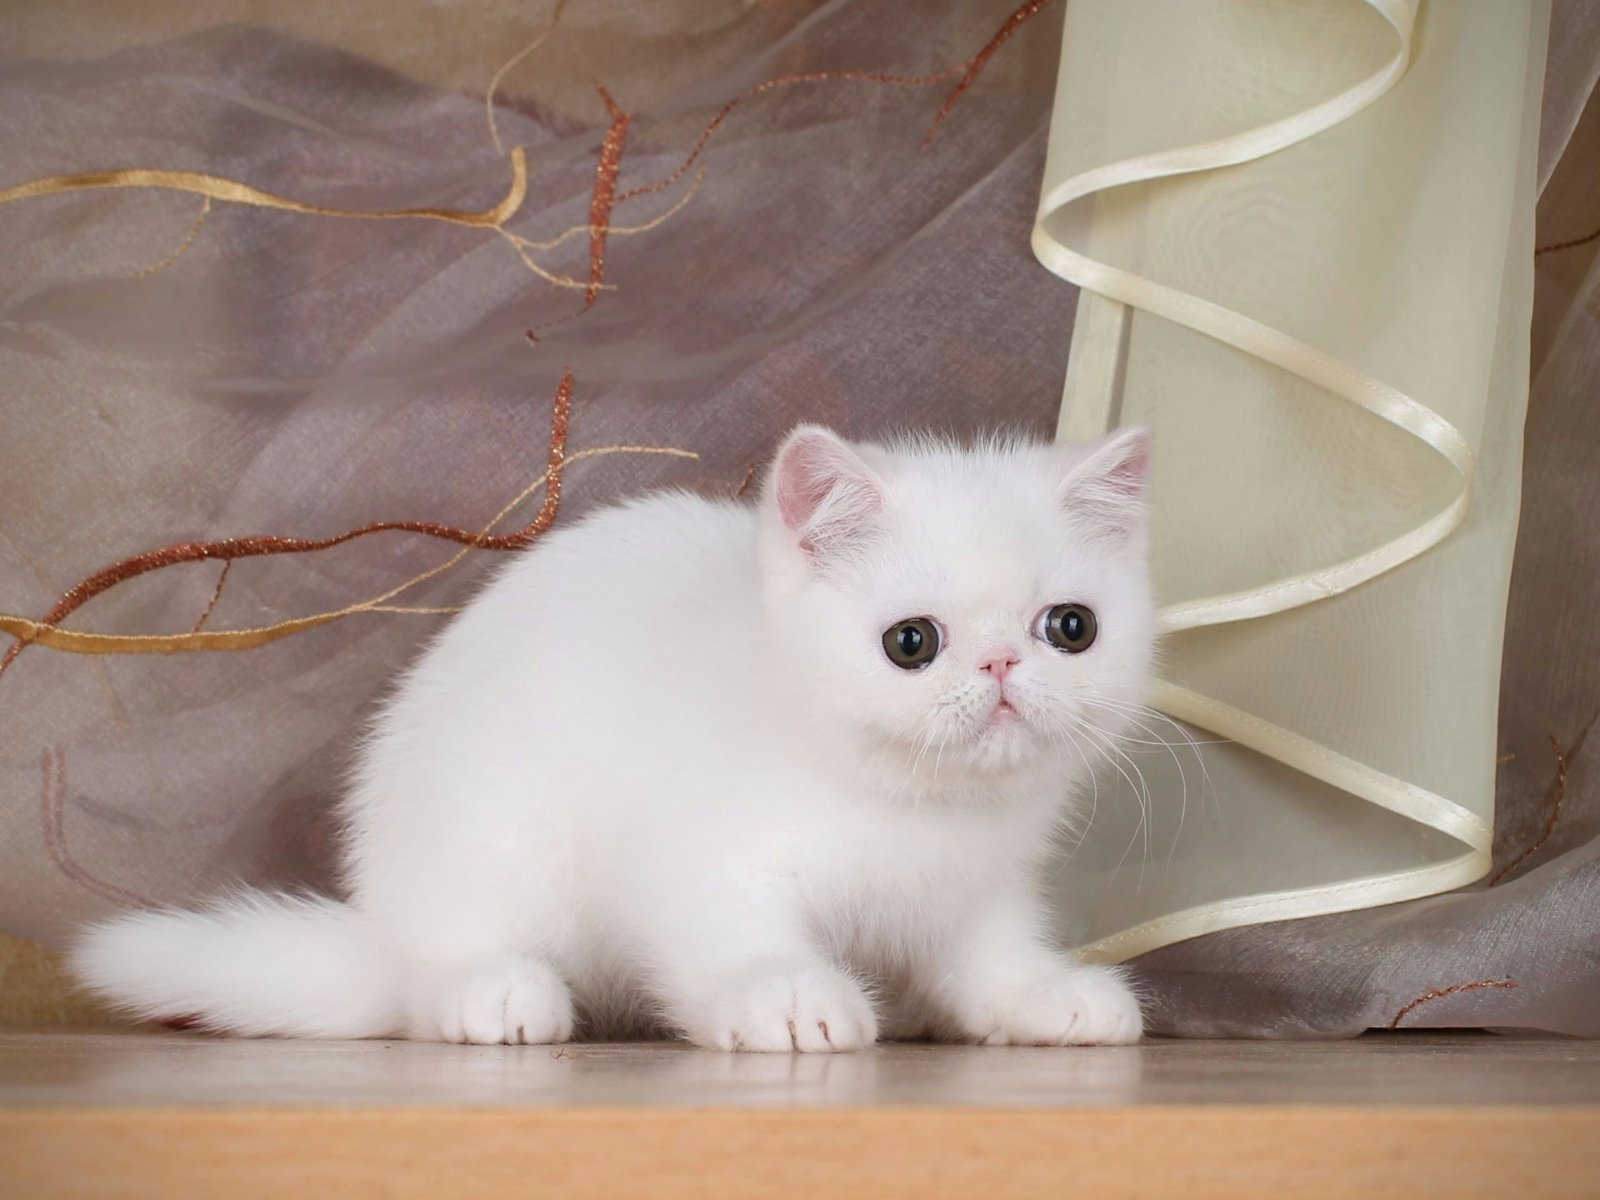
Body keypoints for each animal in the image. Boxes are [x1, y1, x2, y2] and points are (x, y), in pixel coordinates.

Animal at [72, 422, 1152, 1049]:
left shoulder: (981, 886)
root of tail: (382, 922)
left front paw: (1043, 995)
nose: (1002, 669)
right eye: (911, 643)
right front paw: (783, 993)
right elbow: (730, 933)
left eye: (1070, 628)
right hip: (489, 834)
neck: (911, 803)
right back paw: (495, 991)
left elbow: (989, 957)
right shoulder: (692, 855)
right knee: (433, 975)